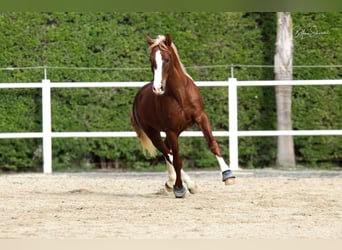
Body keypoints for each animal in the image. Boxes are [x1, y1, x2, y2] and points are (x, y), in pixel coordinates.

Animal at [131, 34, 235, 197]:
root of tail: (138, 96)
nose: (158, 88)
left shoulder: (201, 117)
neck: (180, 94)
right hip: (153, 133)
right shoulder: (171, 130)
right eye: (151, 60)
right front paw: (179, 188)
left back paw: (170, 182)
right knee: (168, 154)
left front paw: (228, 175)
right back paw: (185, 184)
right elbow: (177, 160)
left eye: (167, 59)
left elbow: (212, 143)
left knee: (167, 152)